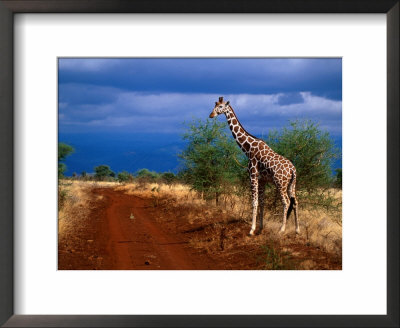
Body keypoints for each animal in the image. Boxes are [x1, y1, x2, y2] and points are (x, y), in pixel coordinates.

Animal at [209, 96, 300, 234]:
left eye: (220, 106)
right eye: (214, 106)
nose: (211, 115)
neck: (248, 148)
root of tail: (293, 170)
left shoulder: (252, 176)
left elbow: (254, 202)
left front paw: (251, 229)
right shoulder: (262, 180)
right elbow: (262, 202)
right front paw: (260, 227)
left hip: (280, 183)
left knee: (286, 201)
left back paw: (282, 229)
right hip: (291, 184)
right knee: (295, 202)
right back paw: (297, 230)